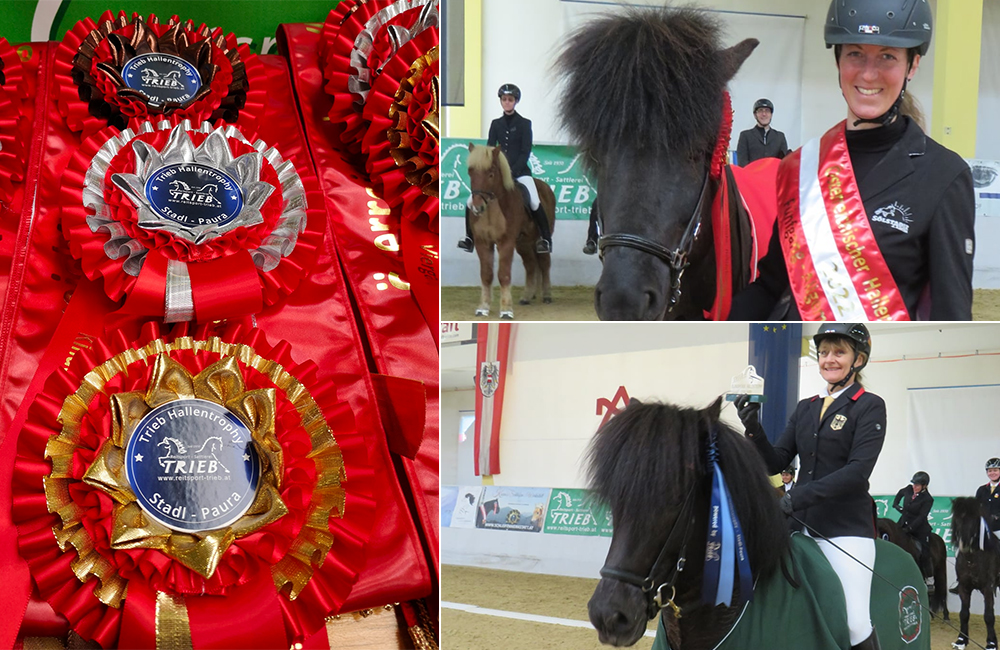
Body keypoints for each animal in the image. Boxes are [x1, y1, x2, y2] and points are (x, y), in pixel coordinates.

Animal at [948, 496, 1000, 648]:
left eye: (974, 520)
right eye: (957, 519)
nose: (964, 545)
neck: (972, 559)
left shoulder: (988, 588)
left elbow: (989, 616)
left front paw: (991, 643)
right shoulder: (964, 588)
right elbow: (964, 614)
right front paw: (961, 640)